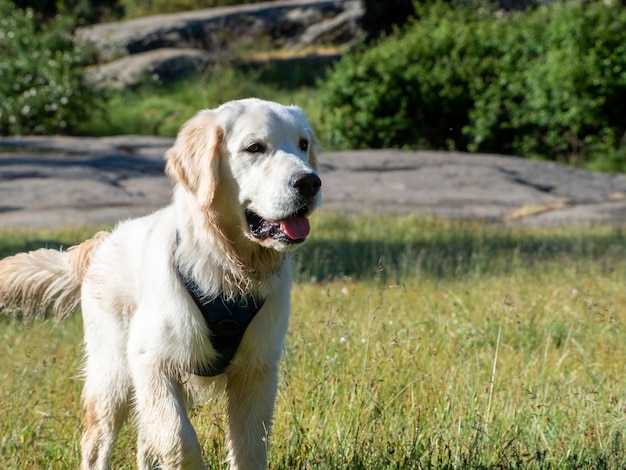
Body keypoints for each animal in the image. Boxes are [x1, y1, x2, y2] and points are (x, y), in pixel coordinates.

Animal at [0, 97, 322, 468]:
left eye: (303, 144)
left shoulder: (257, 370)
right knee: (97, 443)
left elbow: (251, 447)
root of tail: (103, 241)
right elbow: (179, 440)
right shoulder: (152, 361)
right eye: (255, 147)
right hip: (114, 376)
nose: (310, 182)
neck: (227, 267)